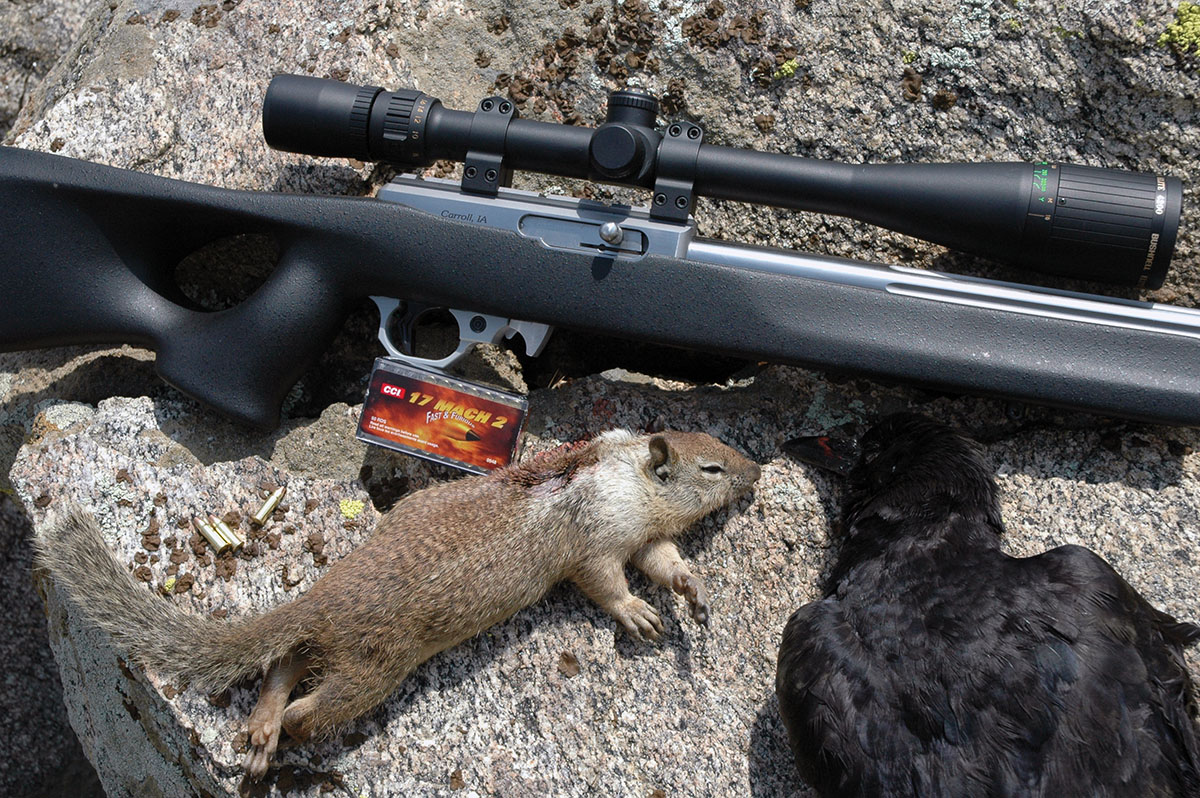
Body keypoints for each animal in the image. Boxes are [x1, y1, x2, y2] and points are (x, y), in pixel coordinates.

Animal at [33, 429, 760, 780]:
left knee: (282, 667)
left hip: (333, 650)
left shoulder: (647, 535)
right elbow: (607, 583)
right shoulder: (598, 543)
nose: (759, 471)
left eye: (723, 446)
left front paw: (693, 592)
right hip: (374, 670)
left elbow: (666, 563)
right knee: (308, 705)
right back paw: (284, 736)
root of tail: (322, 599)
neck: (625, 470)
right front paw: (636, 614)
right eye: (712, 468)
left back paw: (261, 730)